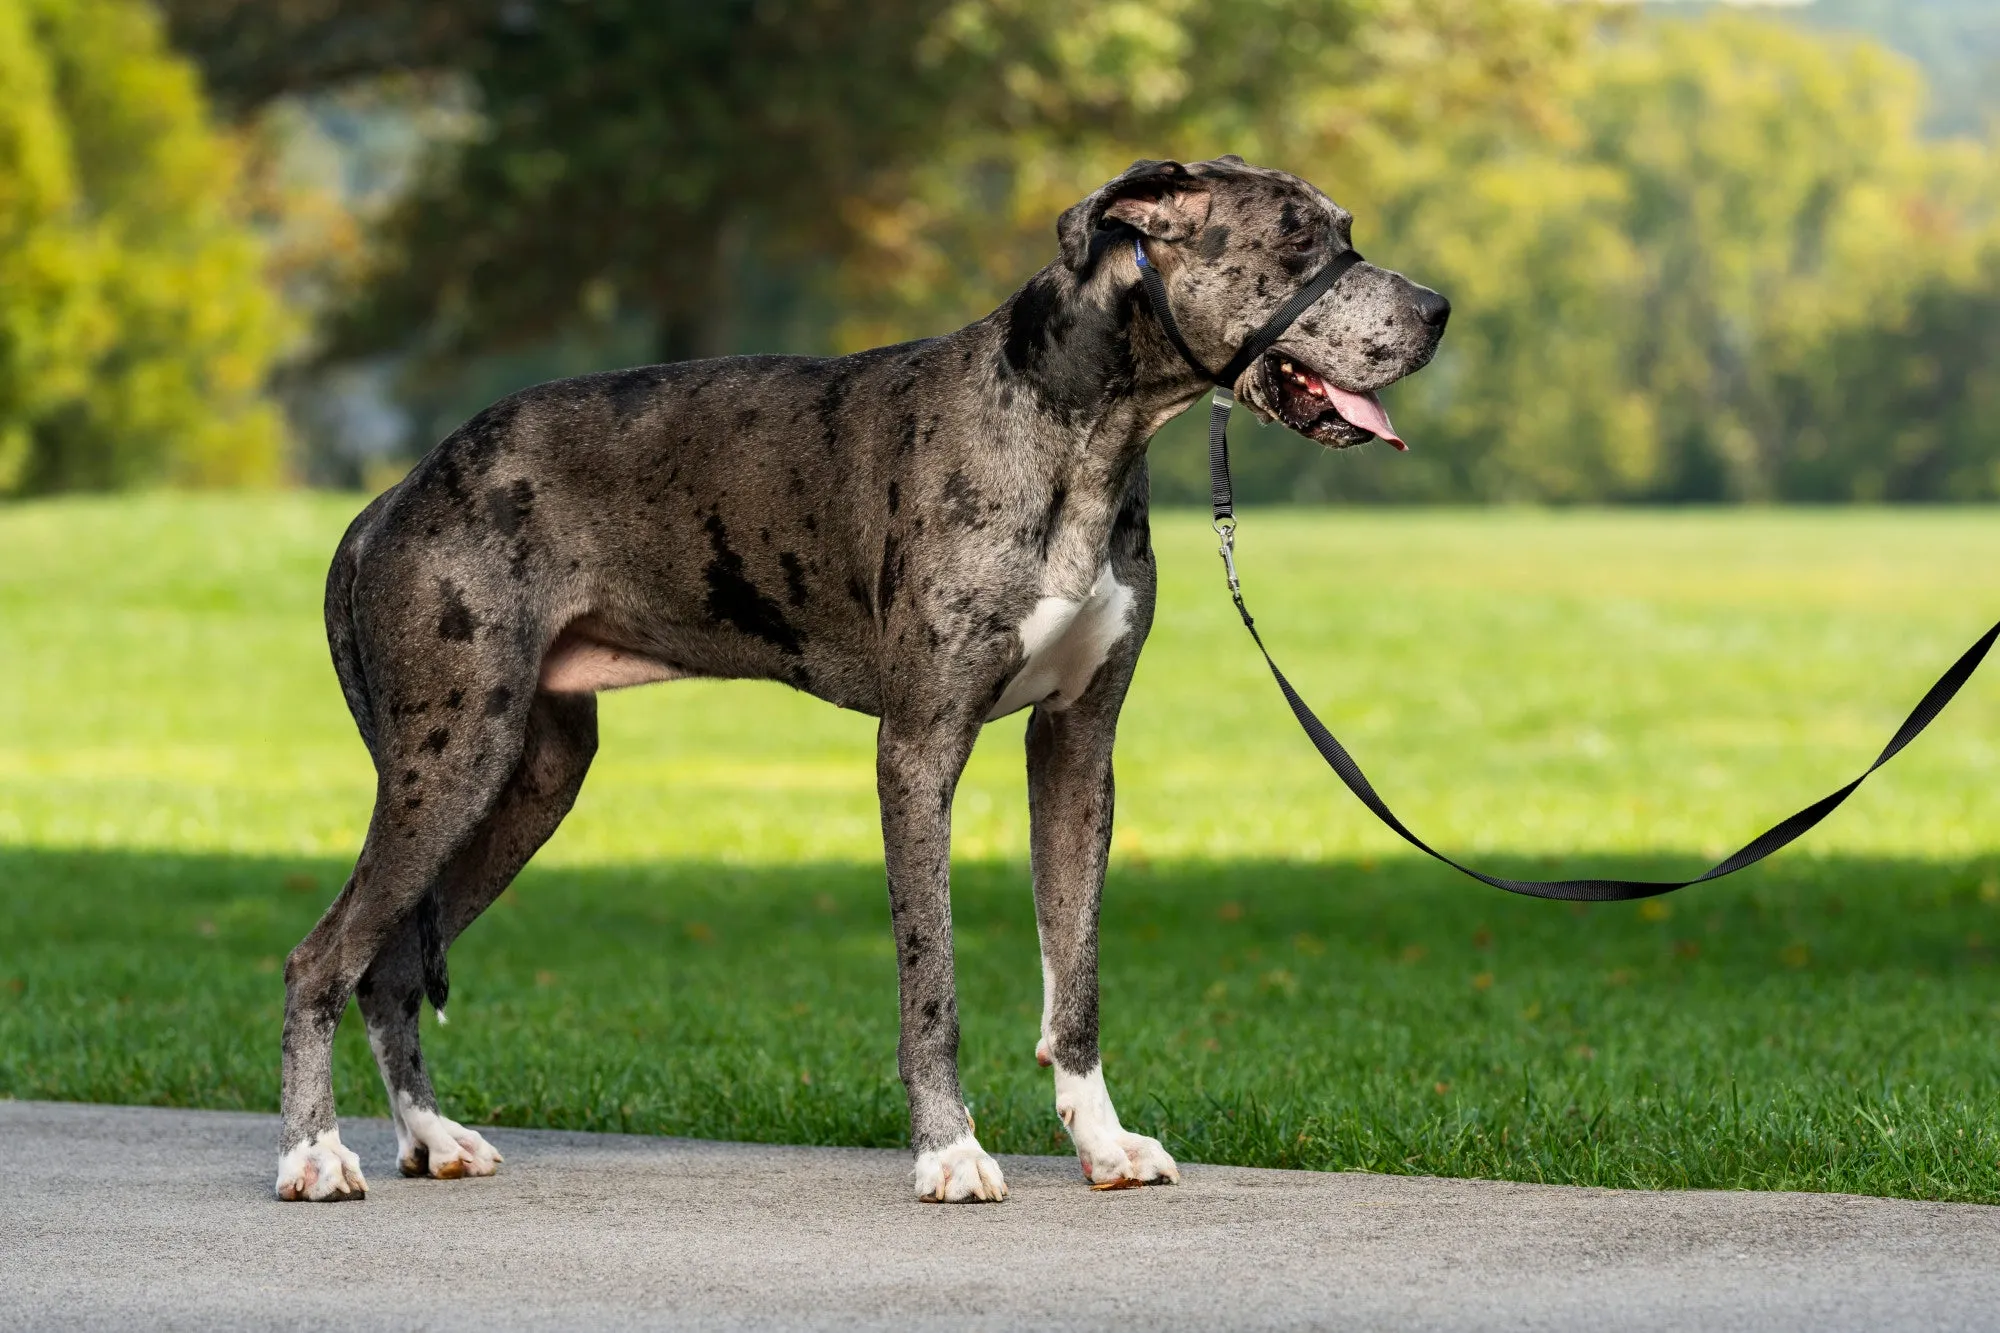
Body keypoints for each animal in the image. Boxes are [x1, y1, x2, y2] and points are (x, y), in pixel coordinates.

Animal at [278, 158, 1440, 1200]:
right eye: (1299, 238)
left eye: (1344, 230)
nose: (1437, 309)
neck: (1072, 432)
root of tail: (392, 495)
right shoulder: (917, 749)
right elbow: (932, 977)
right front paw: (949, 1152)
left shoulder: (1077, 749)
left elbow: (1076, 980)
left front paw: (1102, 1142)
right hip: (452, 759)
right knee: (321, 957)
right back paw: (314, 1156)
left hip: (531, 777)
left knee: (389, 963)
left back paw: (430, 1138)